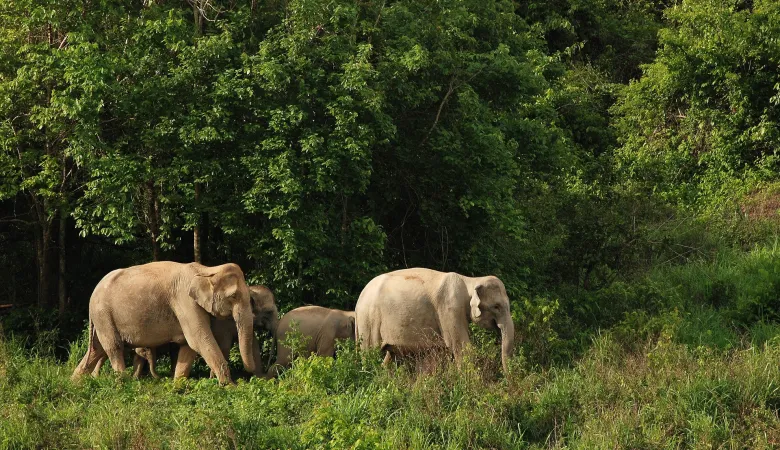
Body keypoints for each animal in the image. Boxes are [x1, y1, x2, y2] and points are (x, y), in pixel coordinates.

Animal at [72, 261, 257, 384]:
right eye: (233, 296)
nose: (249, 375)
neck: (207, 269)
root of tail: (93, 292)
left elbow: (188, 346)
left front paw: (177, 386)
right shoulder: (184, 301)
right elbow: (198, 340)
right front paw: (230, 387)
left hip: (101, 317)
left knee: (97, 349)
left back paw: (75, 382)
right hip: (103, 314)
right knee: (114, 347)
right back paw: (123, 383)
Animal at [354, 268, 515, 373]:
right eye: (497, 306)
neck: (471, 280)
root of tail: (358, 301)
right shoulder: (450, 309)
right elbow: (461, 347)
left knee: (390, 356)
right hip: (368, 320)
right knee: (370, 353)